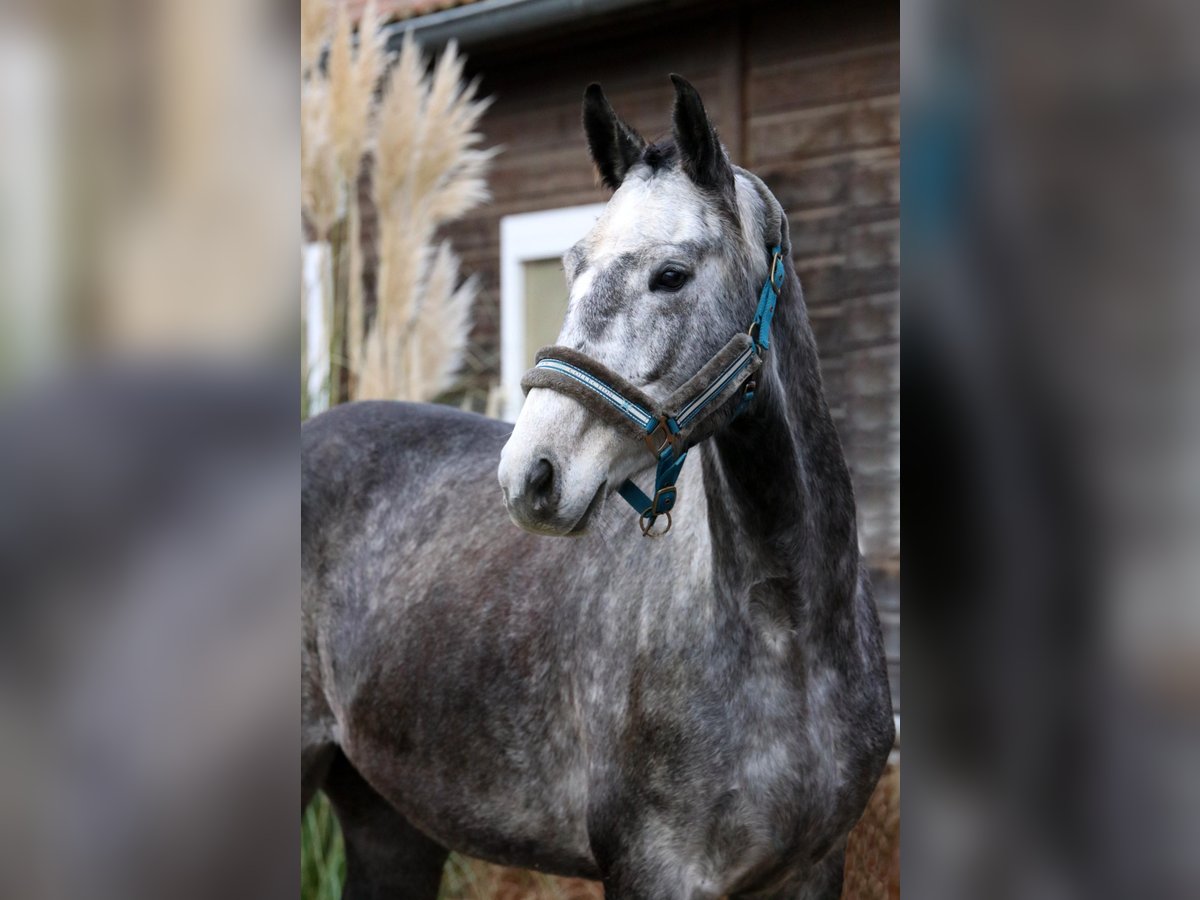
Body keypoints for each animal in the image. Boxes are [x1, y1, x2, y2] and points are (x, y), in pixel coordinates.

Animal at [304, 77, 897, 900]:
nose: (532, 474)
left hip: (388, 825)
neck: (788, 634)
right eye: (572, 267)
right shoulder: (654, 873)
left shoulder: (815, 867)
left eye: (671, 274)